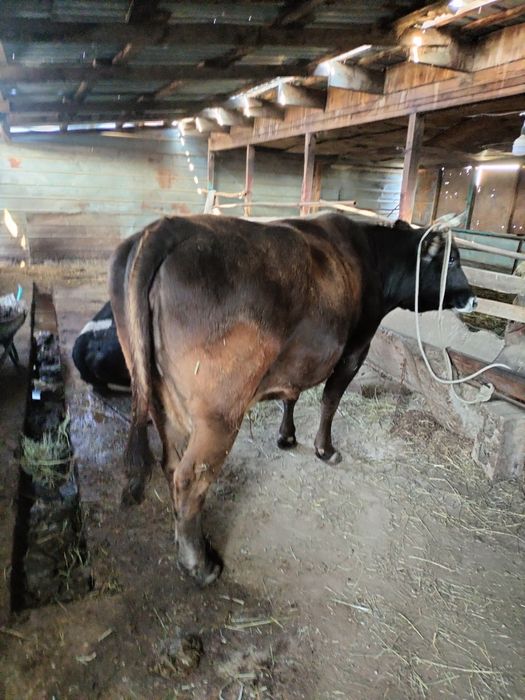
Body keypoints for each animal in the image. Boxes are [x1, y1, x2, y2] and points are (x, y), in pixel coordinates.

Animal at [109, 213, 476, 586]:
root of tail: (168, 227)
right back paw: (200, 566)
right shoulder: (355, 348)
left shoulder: (296, 359)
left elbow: (292, 395)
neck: (372, 256)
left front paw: (286, 437)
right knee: (190, 478)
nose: (472, 298)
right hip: (219, 413)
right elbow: (330, 399)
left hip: (157, 394)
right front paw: (325, 449)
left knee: (171, 463)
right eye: (453, 259)